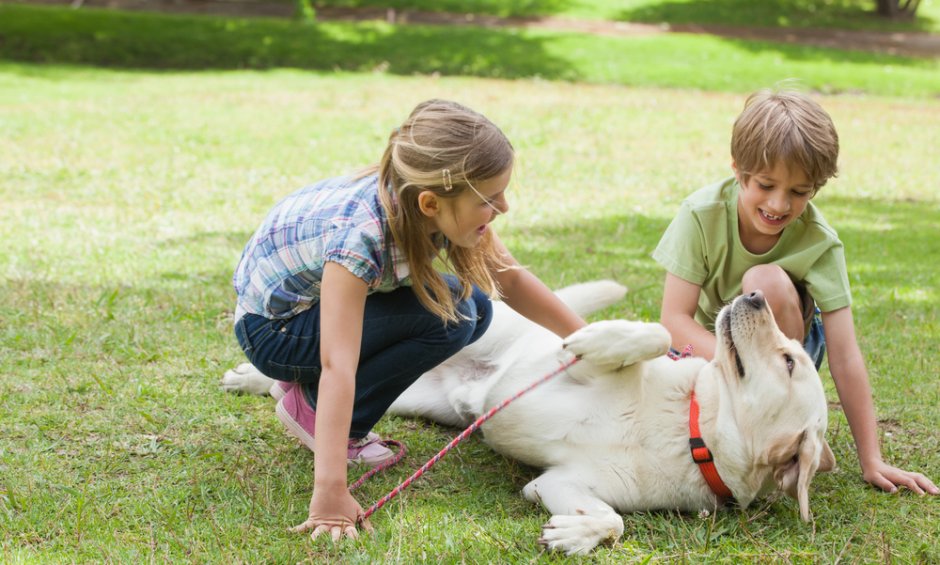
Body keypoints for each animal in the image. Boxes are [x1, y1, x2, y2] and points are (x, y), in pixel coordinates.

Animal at [224, 280, 832, 552]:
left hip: (419, 398)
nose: (754, 296)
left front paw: (574, 534)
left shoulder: (558, 483)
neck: (689, 427)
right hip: (472, 326)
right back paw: (248, 378)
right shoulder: (559, 364)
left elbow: (612, 519)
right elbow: (653, 334)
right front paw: (604, 338)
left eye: (788, 360)